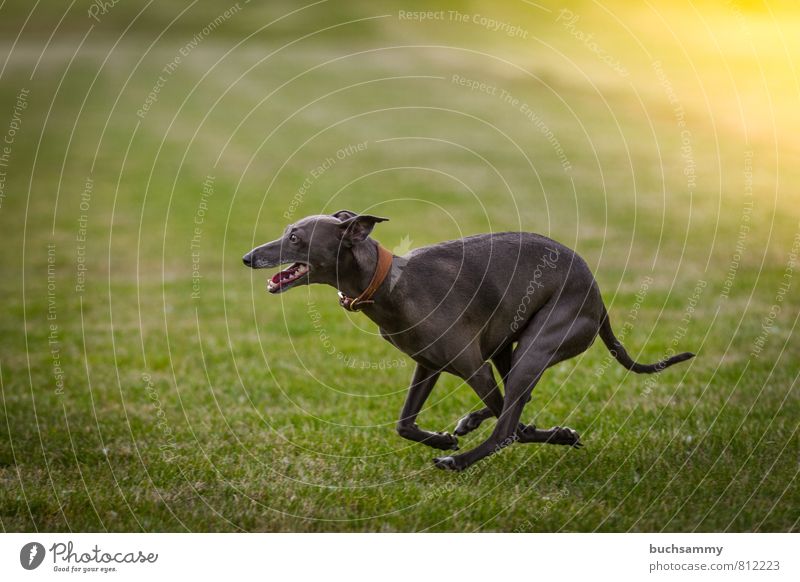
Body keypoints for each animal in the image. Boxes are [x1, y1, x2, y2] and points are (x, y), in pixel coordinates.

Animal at [244, 212, 692, 472]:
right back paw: (473, 427)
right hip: (507, 347)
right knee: (515, 403)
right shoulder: (428, 364)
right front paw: (444, 435)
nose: (248, 257)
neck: (387, 282)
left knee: (507, 424)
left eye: (296, 238)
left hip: (536, 345)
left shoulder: (471, 366)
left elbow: (512, 425)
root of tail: (599, 300)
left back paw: (458, 460)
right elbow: (404, 424)